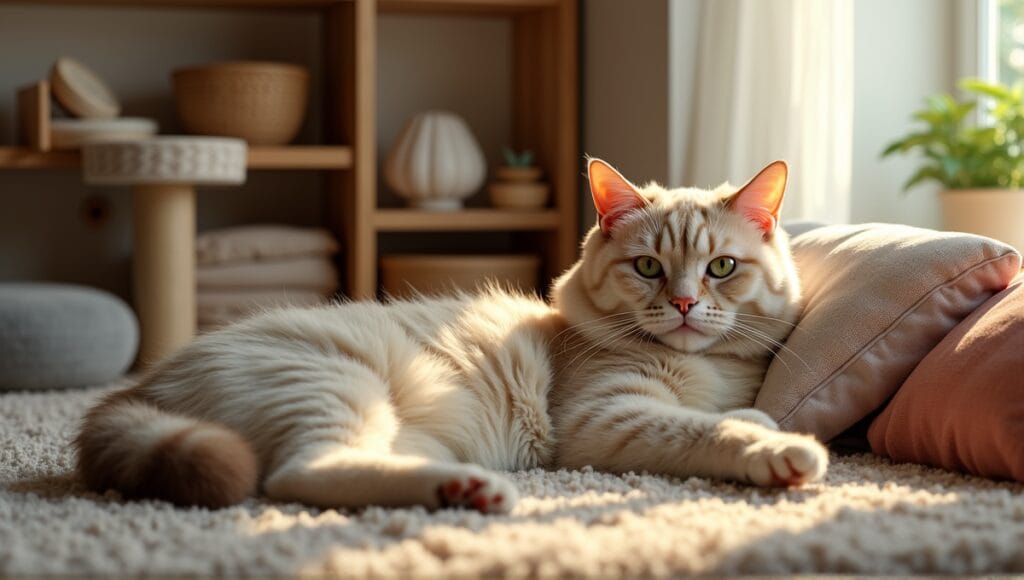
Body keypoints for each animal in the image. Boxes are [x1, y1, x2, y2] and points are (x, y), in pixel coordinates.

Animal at [77, 157, 831, 514]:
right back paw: (470, 490)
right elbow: (706, 430)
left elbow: (739, 414)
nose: (682, 302)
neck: (705, 370)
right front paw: (782, 451)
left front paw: (760, 418)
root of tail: (136, 390)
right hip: (332, 386)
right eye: (648, 266)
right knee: (300, 475)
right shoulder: (604, 417)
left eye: (721, 267)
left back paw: (459, 492)